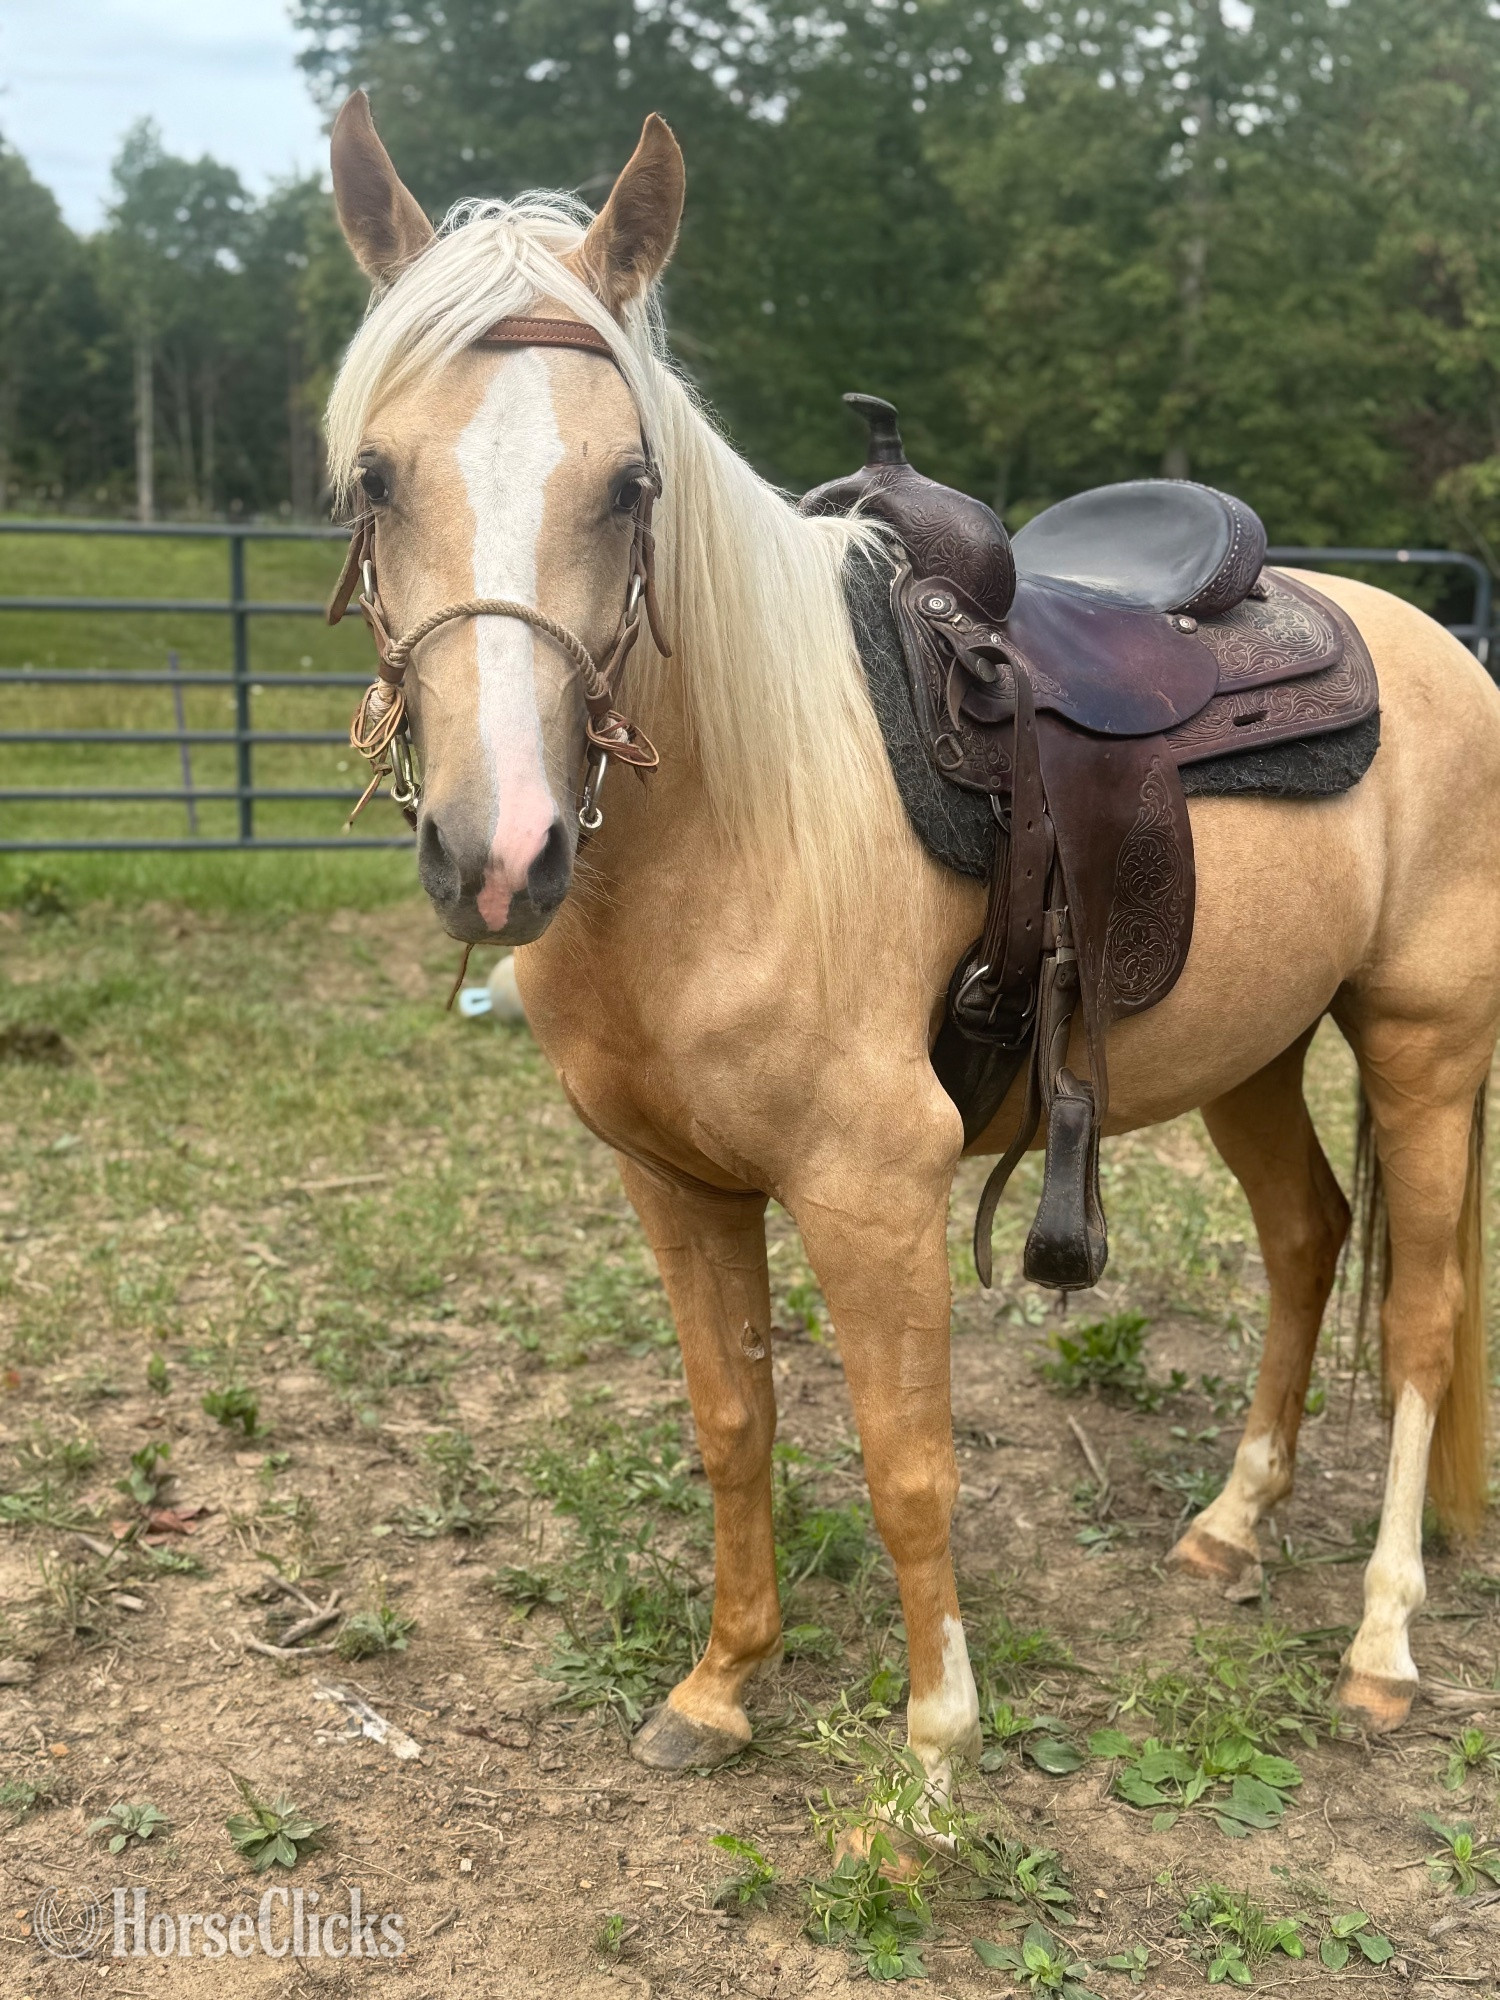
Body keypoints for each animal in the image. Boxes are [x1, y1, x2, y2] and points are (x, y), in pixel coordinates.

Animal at [322, 91, 1500, 1798]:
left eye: (630, 485)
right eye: (373, 476)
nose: (504, 854)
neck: (739, 822)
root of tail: (1437, 646)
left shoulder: (872, 1182)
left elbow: (907, 1461)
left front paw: (935, 1754)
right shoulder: (672, 1180)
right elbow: (734, 1423)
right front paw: (722, 1683)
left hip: (1424, 1037)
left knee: (1422, 1318)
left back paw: (1385, 1644)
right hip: (1253, 1052)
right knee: (1307, 1238)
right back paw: (1228, 1527)